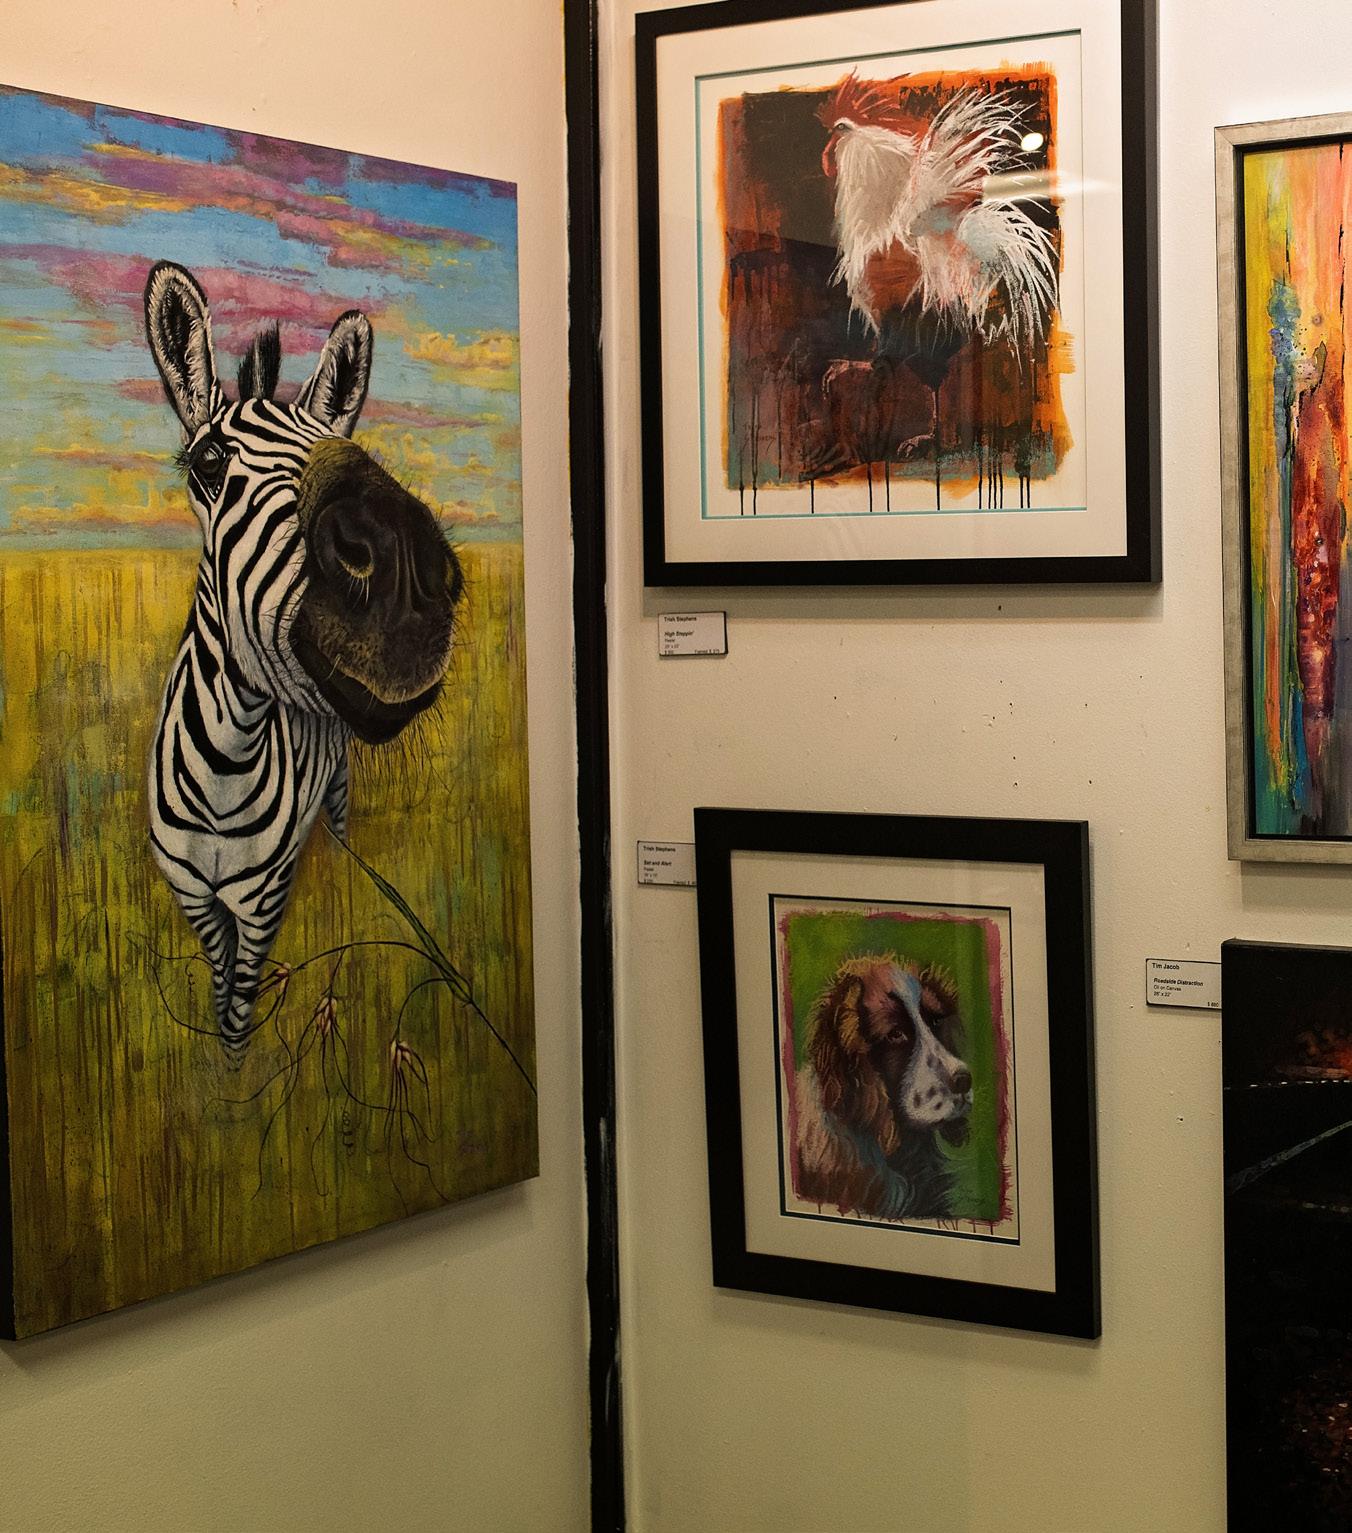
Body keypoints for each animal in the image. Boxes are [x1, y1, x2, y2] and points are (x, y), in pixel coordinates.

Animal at [143, 261, 462, 1060]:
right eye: (207, 462)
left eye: (338, 441)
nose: (408, 573)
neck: (226, 766)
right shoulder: (195, 899)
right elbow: (220, 991)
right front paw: (224, 1077)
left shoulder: (263, 904)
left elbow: (240, 1006)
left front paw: (236, 1071)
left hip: (341, 782)